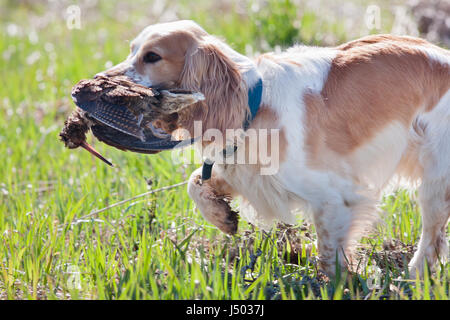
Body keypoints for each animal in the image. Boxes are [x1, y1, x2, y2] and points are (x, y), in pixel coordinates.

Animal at [102, 20, 450, 276]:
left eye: (152, 56)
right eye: (132, 51)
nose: (101, 80)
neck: (254, 103)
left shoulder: (336, 196)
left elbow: (329, 256)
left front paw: (343, 283)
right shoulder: (247, 172)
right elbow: (196, 183)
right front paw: (222, 217)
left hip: (436, 182)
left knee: (431, 237)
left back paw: (413, 276)